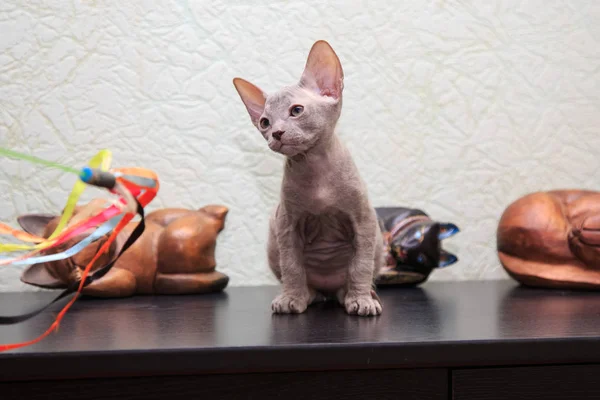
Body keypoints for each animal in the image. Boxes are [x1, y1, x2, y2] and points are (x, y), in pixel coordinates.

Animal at [232, 39, 382, 316]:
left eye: (297, 110)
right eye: (265, 122)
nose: (277, 133)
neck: (314, 167)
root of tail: (328, 291)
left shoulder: (364, 220)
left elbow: (361, 266)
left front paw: (361, 300)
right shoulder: (286, 224)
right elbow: (291, 266)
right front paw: (292, 298)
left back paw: (358, 295)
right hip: (272, 236)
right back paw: (307, 294)